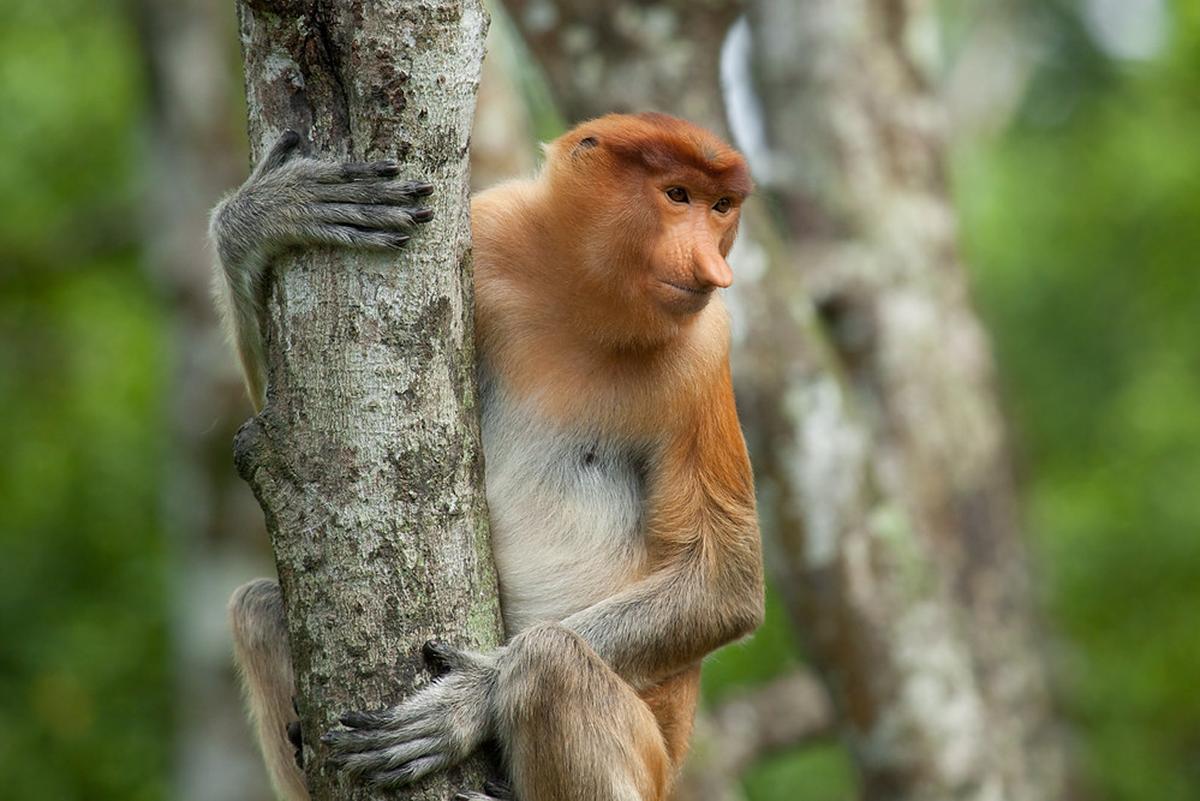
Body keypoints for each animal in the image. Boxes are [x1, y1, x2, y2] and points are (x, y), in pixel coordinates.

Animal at [213, 112, 763, 801]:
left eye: (721, 207)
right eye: (678, 196)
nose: (712, 268)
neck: (584, 298)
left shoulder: (706, 348)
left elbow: (725, 581)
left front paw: (469, 699)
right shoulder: (491, 229)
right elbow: (279, 425)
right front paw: (269, 214)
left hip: (650, 766)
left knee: (549, 662)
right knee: (257, 607)